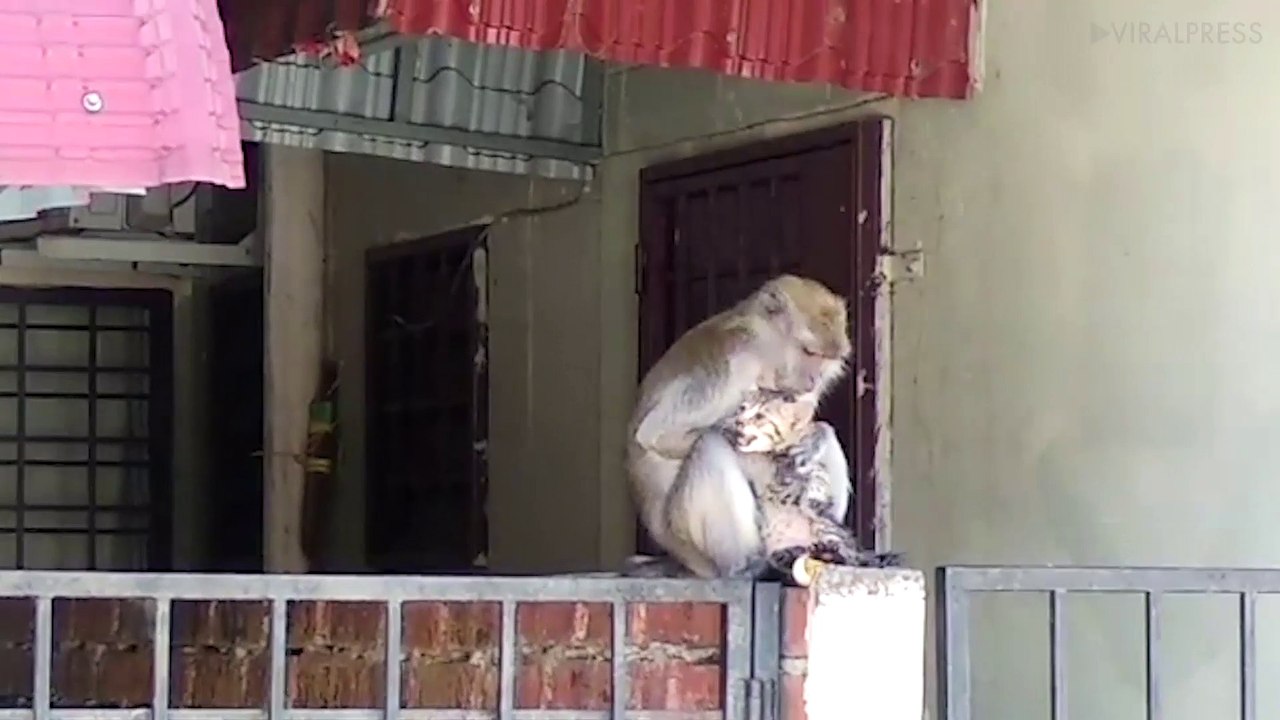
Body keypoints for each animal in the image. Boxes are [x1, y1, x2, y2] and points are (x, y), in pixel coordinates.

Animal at [625, 274, 862, 579]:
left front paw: (816, 437)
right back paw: (747, 565)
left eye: (827, 359)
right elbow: (657, 435)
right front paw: (771, 469)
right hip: (688, 544)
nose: (814, 381)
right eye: (809, 352)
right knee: (710, 445)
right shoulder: (738, 360)